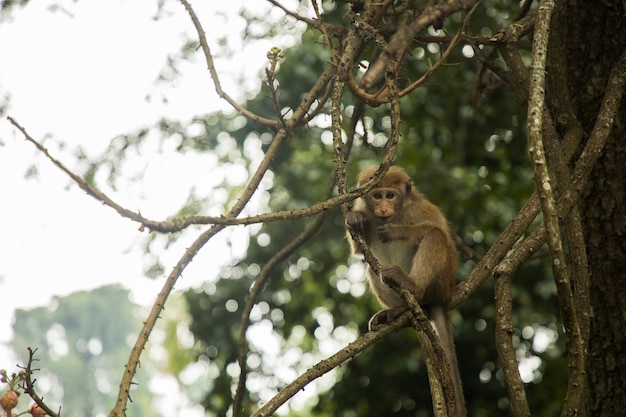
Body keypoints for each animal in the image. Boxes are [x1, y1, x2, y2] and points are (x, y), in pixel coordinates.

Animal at [346, 166, 464, 416]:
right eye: (377, 195)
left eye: (390, 195)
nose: (383, 208)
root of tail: (444, 296)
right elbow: (360, 251)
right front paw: (355, 219)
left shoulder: (418, 209)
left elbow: (441, 233)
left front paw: (397, 231)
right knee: (372, 267)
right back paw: (399, 309)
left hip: (441, 282)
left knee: (435, 236)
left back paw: (411, 286)